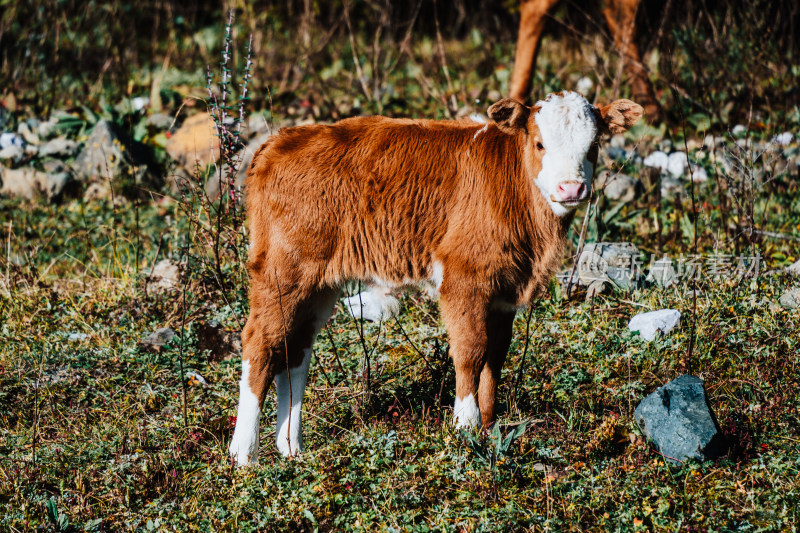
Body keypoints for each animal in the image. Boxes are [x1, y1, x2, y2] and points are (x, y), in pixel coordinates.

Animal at [228, 89, 640, 464]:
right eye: (539, 144)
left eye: (594, 146)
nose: (571, 188)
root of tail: (278, 142)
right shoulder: (464, 277)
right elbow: (471, 351)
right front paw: (465, 426)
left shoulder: (505, 290)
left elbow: (496, 355)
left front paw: (489, 426)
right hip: (283, 269)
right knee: (260, 343)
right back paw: (243, 454)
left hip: (319, 282)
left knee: (295, 351)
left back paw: (291, 447)